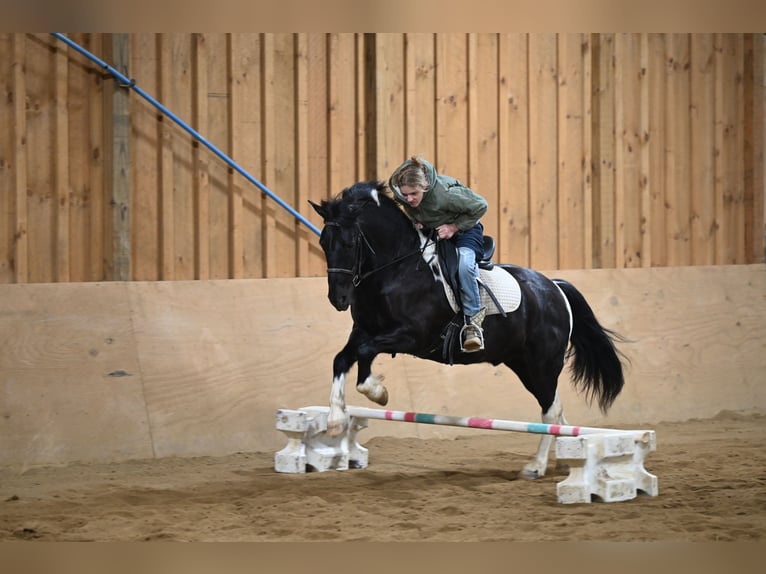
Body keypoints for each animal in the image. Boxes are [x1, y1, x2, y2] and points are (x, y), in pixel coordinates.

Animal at [308, 181, 628, 482]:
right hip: (523, 364)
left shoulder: (412, 336)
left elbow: (364, 354)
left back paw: (535, 467)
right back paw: (564, 457)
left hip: (541, 365)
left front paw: (376, 393)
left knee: (550, 408)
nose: (338, 299)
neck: (398, 268)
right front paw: (339, 416)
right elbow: (343, 358)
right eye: (324, 242)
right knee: (555, 408)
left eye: (349, 243)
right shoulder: (364, 331)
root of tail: (554, 288)